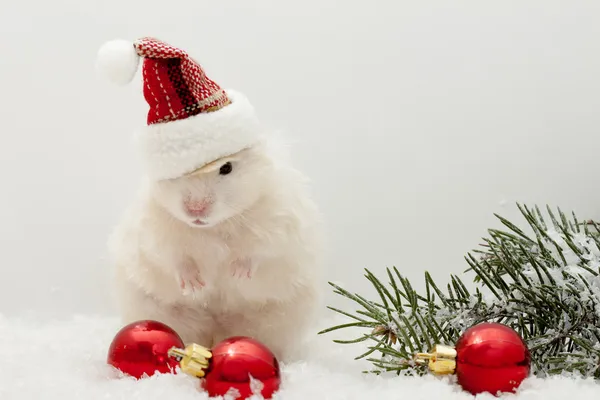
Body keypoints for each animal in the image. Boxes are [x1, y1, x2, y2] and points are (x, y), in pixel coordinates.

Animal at [108, 136, 324, 360]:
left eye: (226, 167)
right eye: (177, 173)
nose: (195, 210)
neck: (214, 226)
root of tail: (215, 330)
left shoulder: (278, 227)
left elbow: (256, 253)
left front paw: (235, 274)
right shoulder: (156, 236)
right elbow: (176, 260)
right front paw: (195, 285)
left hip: (272, 323)